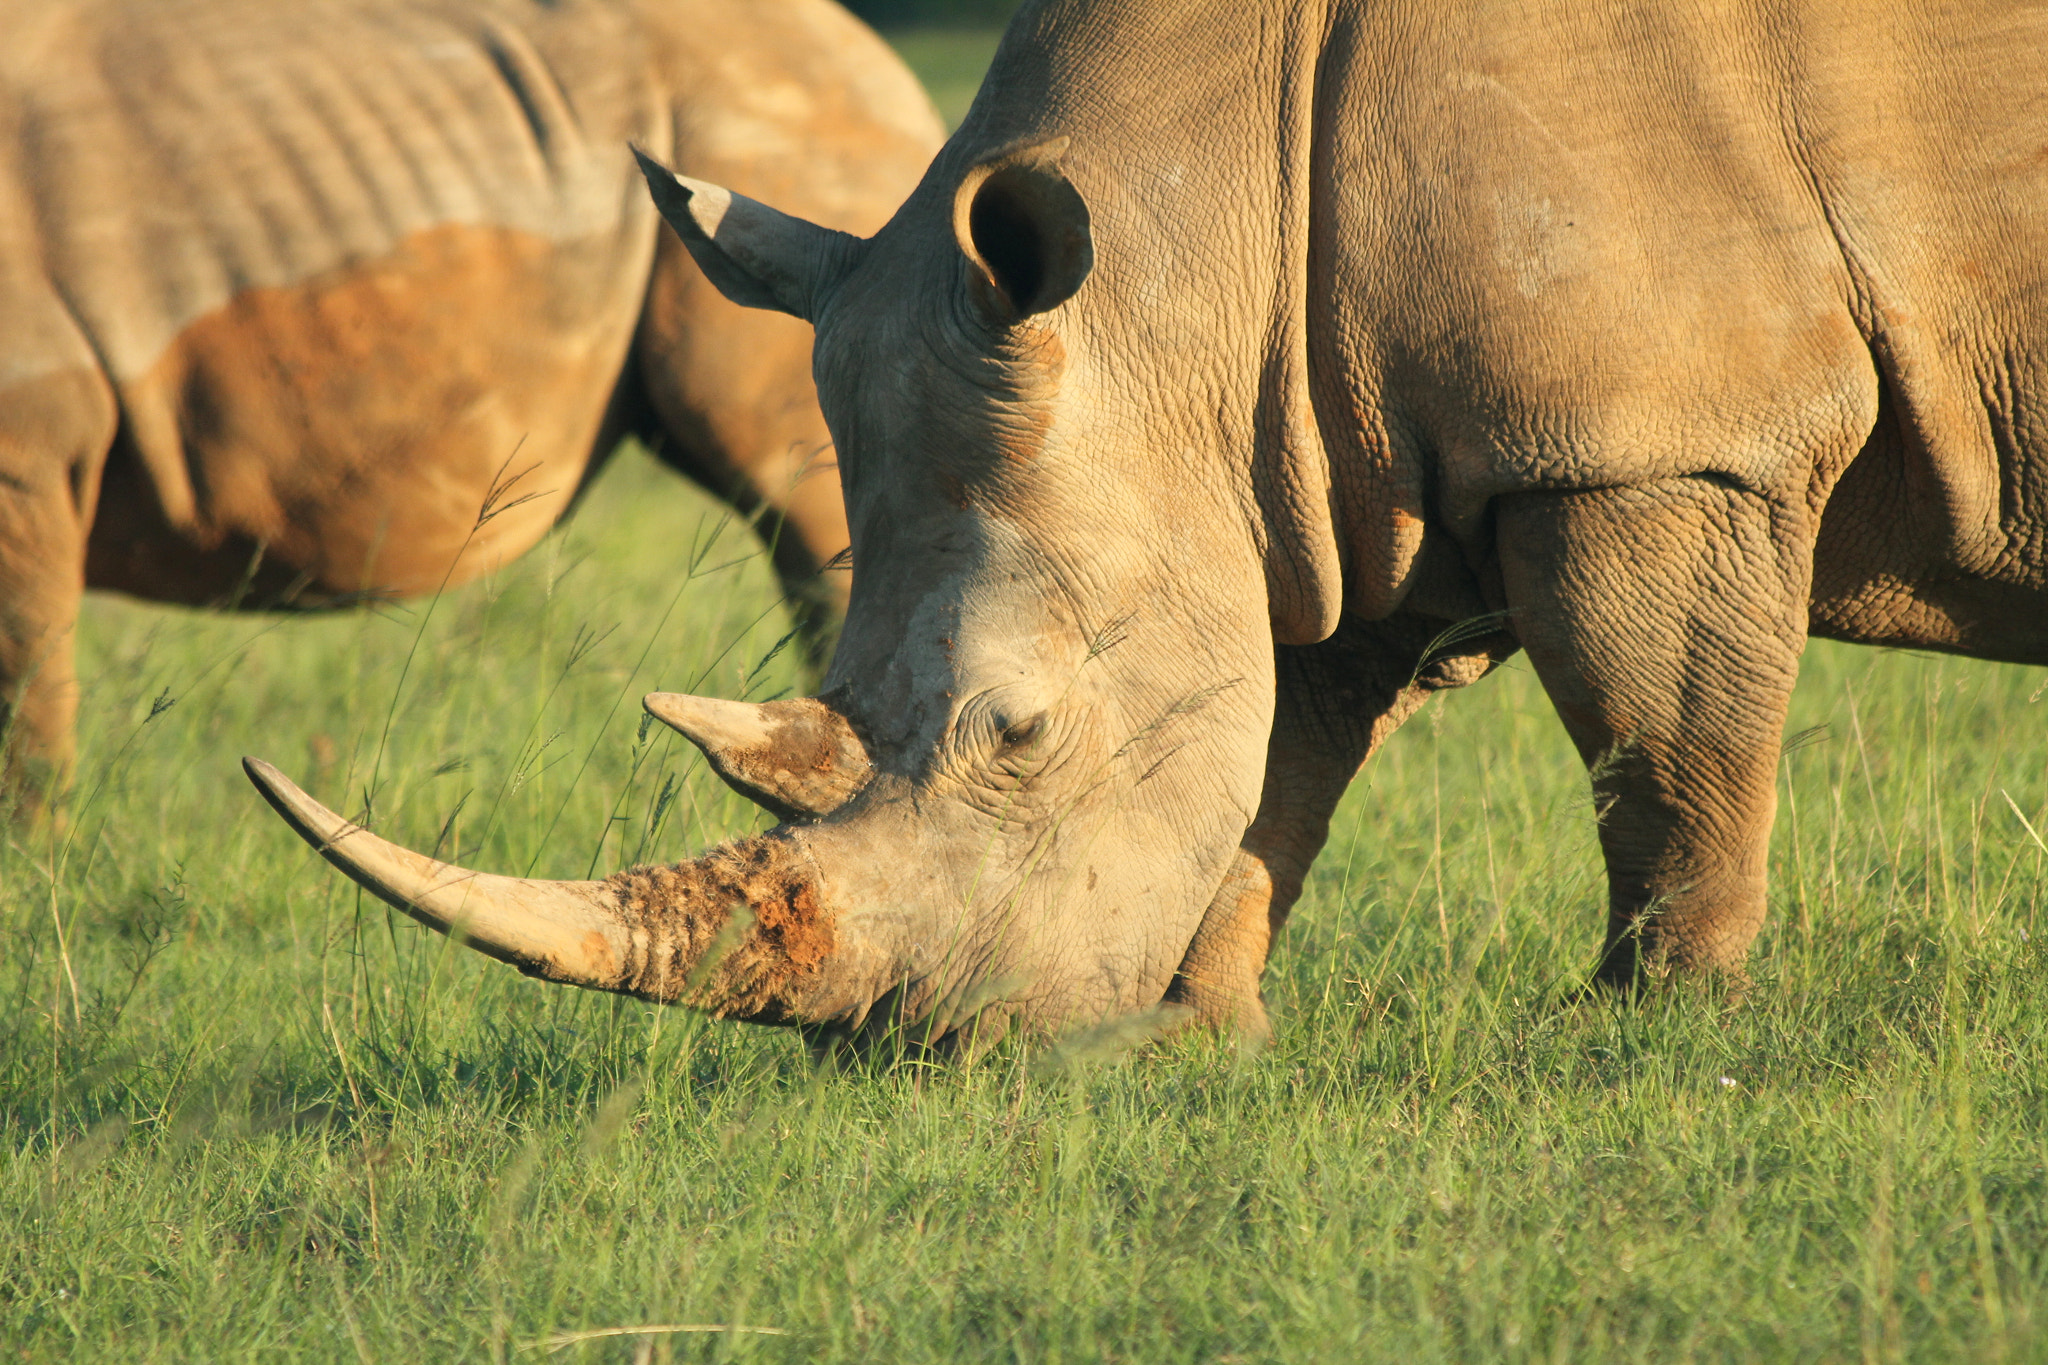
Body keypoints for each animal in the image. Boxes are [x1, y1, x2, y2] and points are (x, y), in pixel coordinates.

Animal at [246, 0, 2048, 1048]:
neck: (1196, 254)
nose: (913, 1041)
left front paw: (1650, 1032)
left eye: (1019, 734)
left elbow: (1663, 744)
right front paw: (1193, 1031)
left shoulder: (1655, 442)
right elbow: (1277, 765)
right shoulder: (1308, 465)